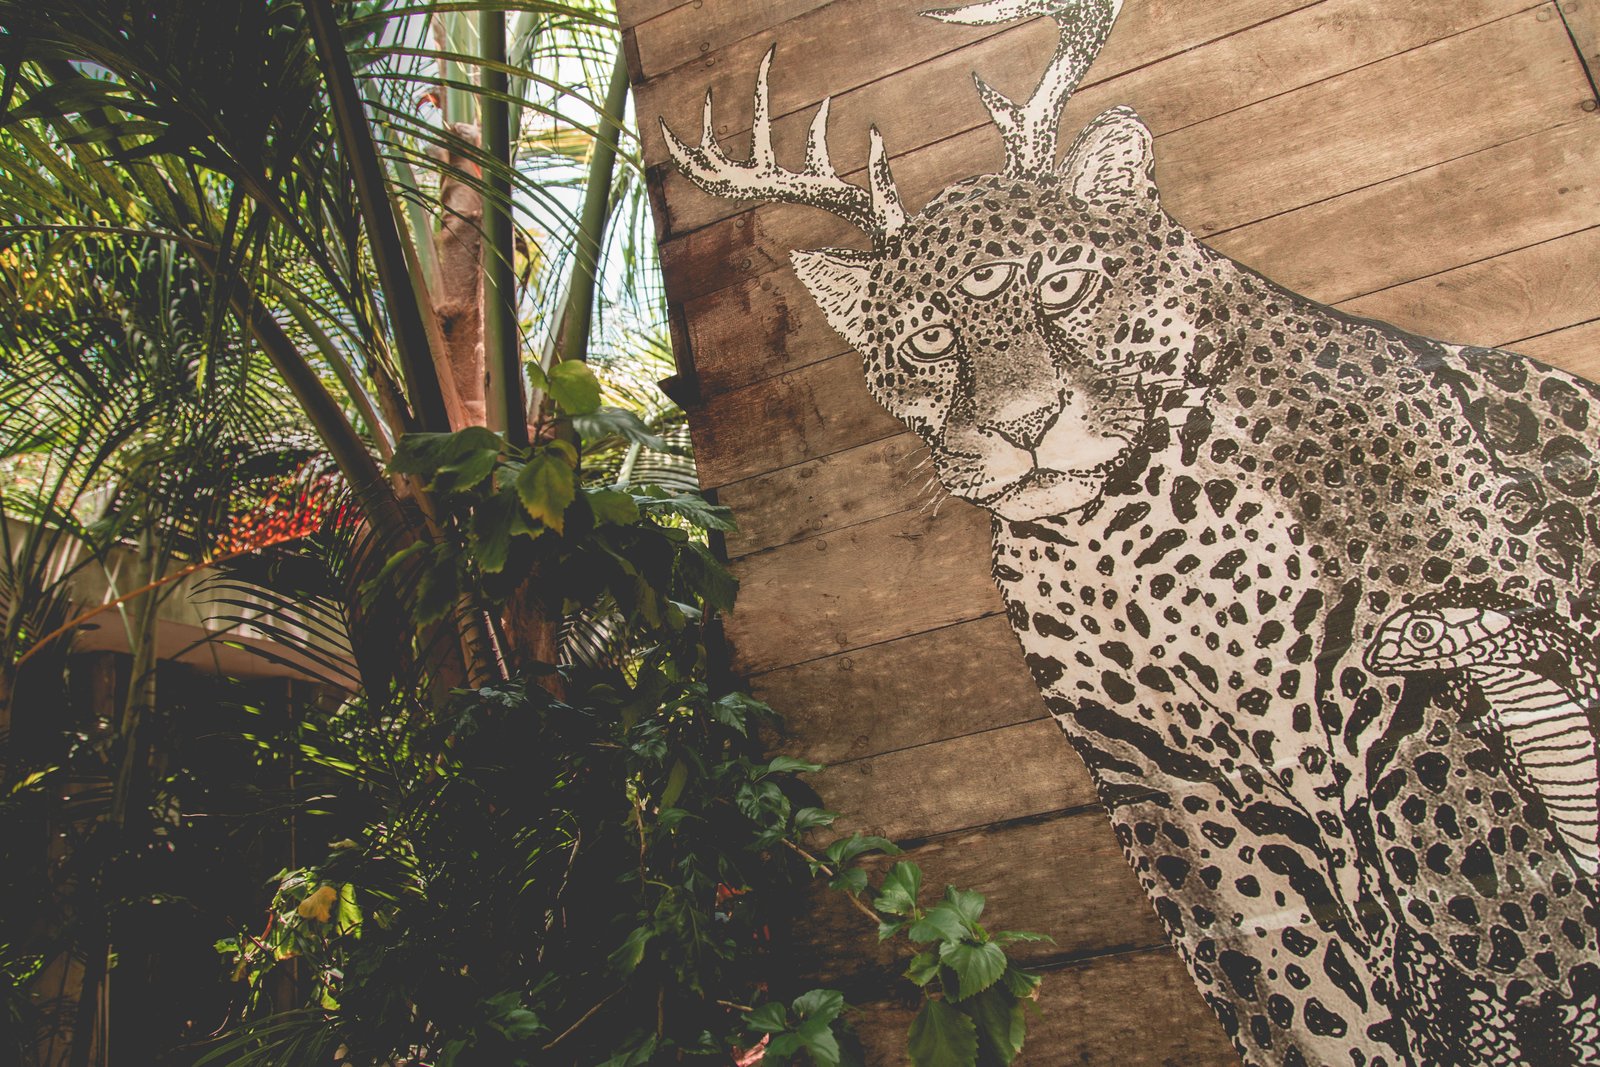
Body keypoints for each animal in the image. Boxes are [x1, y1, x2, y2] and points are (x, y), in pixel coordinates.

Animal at [664, 0, 1600, 1063]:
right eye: (928, 339)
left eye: (1062, 286)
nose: (1024, 424)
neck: (1134, 551)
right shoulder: (1166, 790)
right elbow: (1302, 1005)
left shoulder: (1421, 707)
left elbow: (1513, 935)